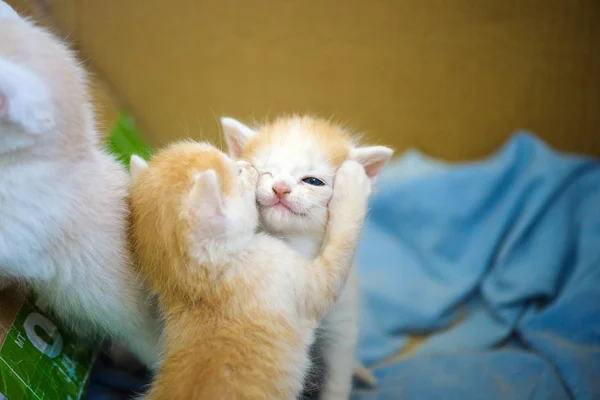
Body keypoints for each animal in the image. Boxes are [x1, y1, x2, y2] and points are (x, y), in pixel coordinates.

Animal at [128, 142, 370, 398]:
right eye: (238, 172)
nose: (249, 164)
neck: (203, 285)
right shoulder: (292, 280)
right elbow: (340, 245)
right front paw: (353, 181)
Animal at [220, 114, 394, 398]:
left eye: (312, 181)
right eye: (265, 173)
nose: (280, 188)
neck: (293, 245)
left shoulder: (340, 328)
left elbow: (337, 382)